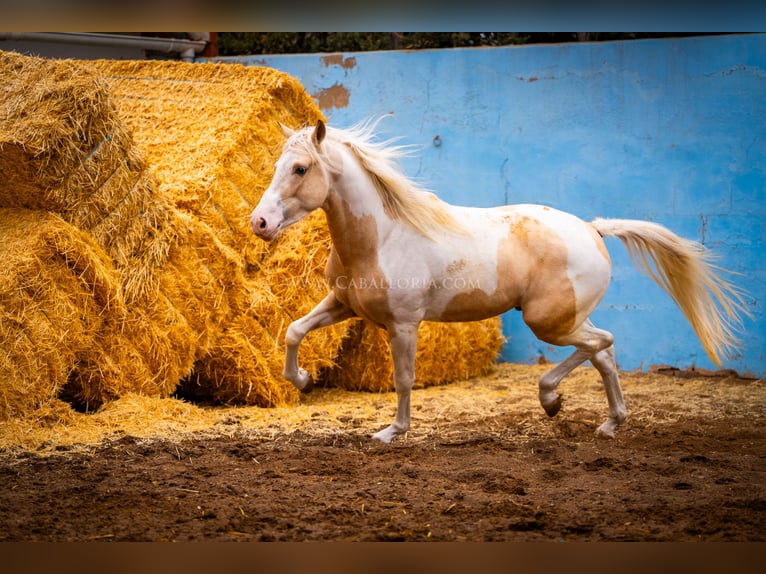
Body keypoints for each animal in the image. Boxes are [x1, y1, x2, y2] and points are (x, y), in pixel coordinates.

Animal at [254, 119, 752, 446]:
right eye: (276, 164)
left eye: (300, 168)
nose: (260, 223)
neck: (382, 235)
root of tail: (593, 229)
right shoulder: (343, 304)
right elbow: (294, 331)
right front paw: (301, 381)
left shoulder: (404, 324)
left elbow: (403, 379)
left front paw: (392, 432)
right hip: (566, 319)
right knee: (604, 354)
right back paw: (609, 423)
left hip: (548, 321)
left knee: (602, 343)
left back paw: (551, 399)